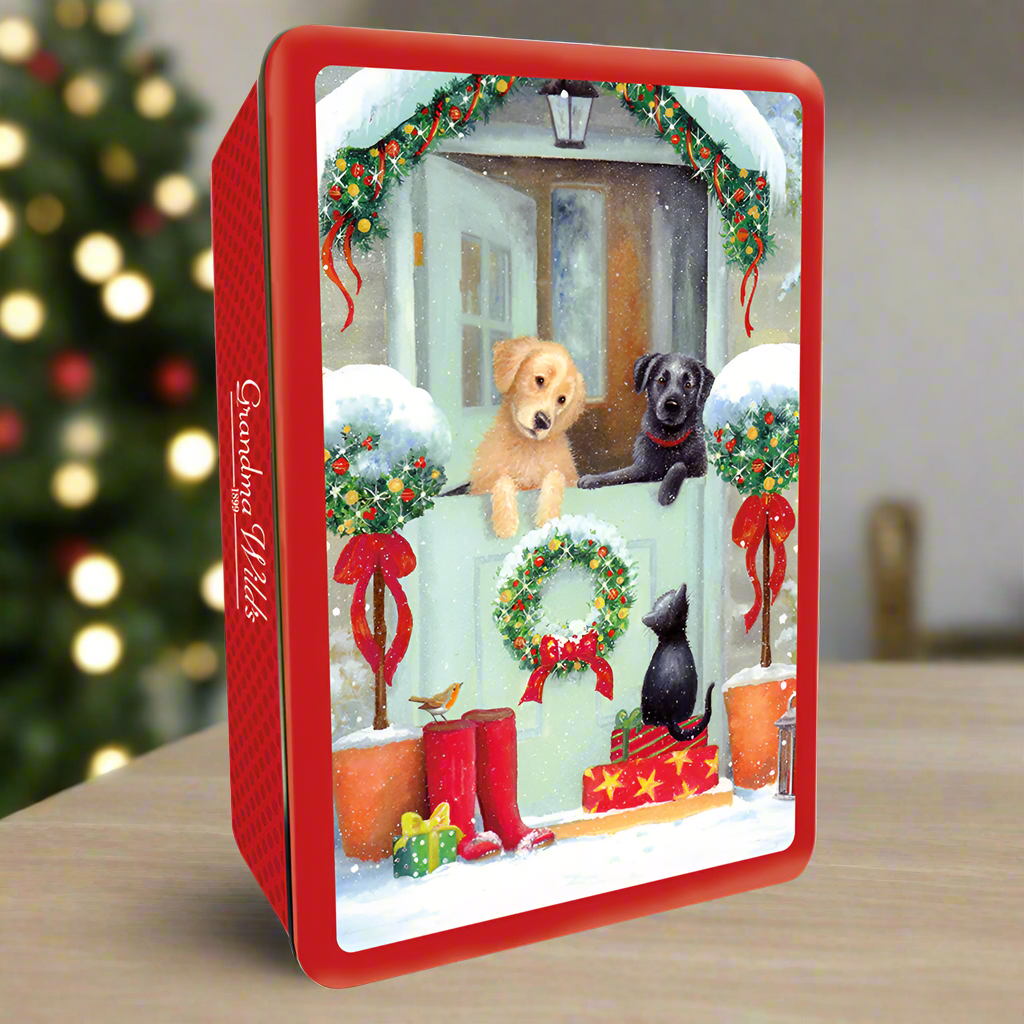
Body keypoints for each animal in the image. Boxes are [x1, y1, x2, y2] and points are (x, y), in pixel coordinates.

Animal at [468, 337, 585, 544]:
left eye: (562, 399)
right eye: (540, 380)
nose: (543, 421)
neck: (526, 447)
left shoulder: (567, 476)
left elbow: (555, 476)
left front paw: (548, 516)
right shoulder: (483, 485)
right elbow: (503, 479)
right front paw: (506, 522)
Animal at [581, 354, 716, 505]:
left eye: (688, 385)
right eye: (661, 380)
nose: (672, 405)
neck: (669, 440)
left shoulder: (699, 469)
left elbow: (680, 465)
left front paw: (666, 492)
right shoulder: (641, 469)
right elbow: (617, 474)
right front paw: (592, 478)